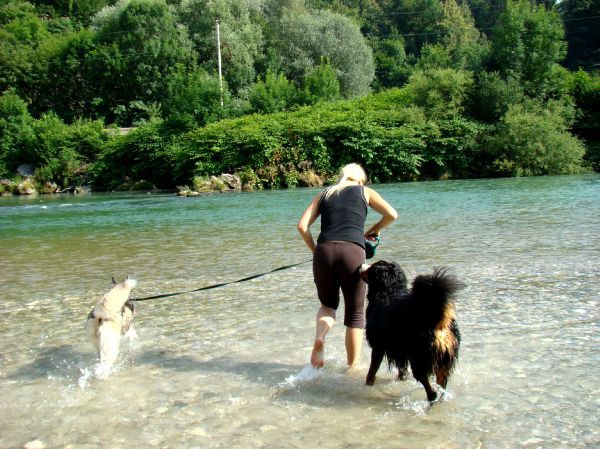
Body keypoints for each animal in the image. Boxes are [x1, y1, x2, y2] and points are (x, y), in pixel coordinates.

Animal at [360, 260, 464, 400]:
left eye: (372, 268)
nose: (360, 267)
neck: (389, 291)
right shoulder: (400, 351)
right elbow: (402, 371)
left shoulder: (379, 347)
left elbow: (372, 371)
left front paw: (367, 385)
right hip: (444, 358)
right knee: (441, 384)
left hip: (419, 357)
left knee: (429, 388)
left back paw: (432, 398)